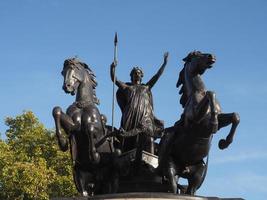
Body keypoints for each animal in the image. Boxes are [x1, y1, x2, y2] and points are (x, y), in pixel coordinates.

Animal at [52, 57, 118, 195]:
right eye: (63, 72)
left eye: (75, 69)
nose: (67, 86)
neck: (83, 104)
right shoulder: (74, 127)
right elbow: (57, 110)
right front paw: (62, 142)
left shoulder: (99, 132)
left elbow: (90, 128)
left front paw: (95, 156)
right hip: (80, 176)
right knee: (84, 192)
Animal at [159, 50, 241, 195]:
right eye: (197, 54)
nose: (212, 56)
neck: (198, 92)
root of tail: (184, 169)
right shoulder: (196, 119)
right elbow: (211, 93)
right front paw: (214, 125)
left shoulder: (220, 120)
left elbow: (235, 117)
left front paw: (224, 143)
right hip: (170, 168)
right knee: (173, 187)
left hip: (198, 173)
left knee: (190, 190)